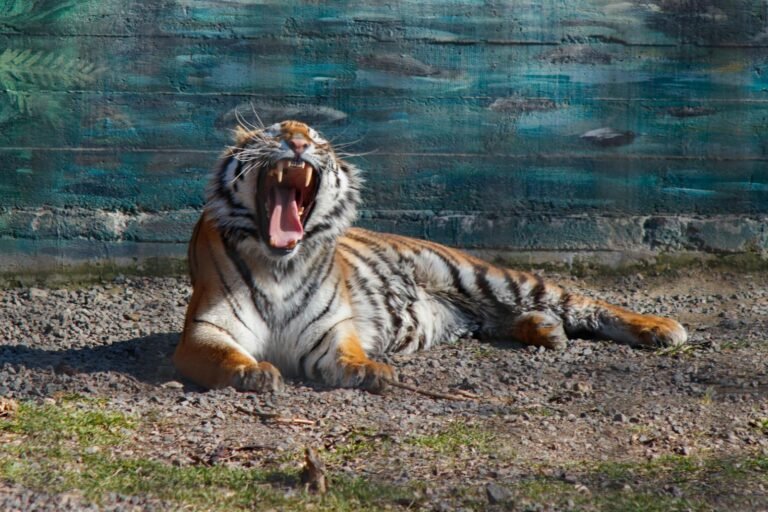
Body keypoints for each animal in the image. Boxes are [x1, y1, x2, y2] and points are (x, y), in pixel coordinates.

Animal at [173, 120, 688, 393]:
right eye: (274, 132)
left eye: (317, 139)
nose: (298, 142)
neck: (281, 262)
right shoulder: (206, 332)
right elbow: (224, 357)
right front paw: (253, 372)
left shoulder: (330, 332)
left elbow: (348, 355)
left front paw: (372, 370)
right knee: (504, 320)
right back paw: (547, 330)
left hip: (485, 276)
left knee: (585, 302)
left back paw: (661, 327)